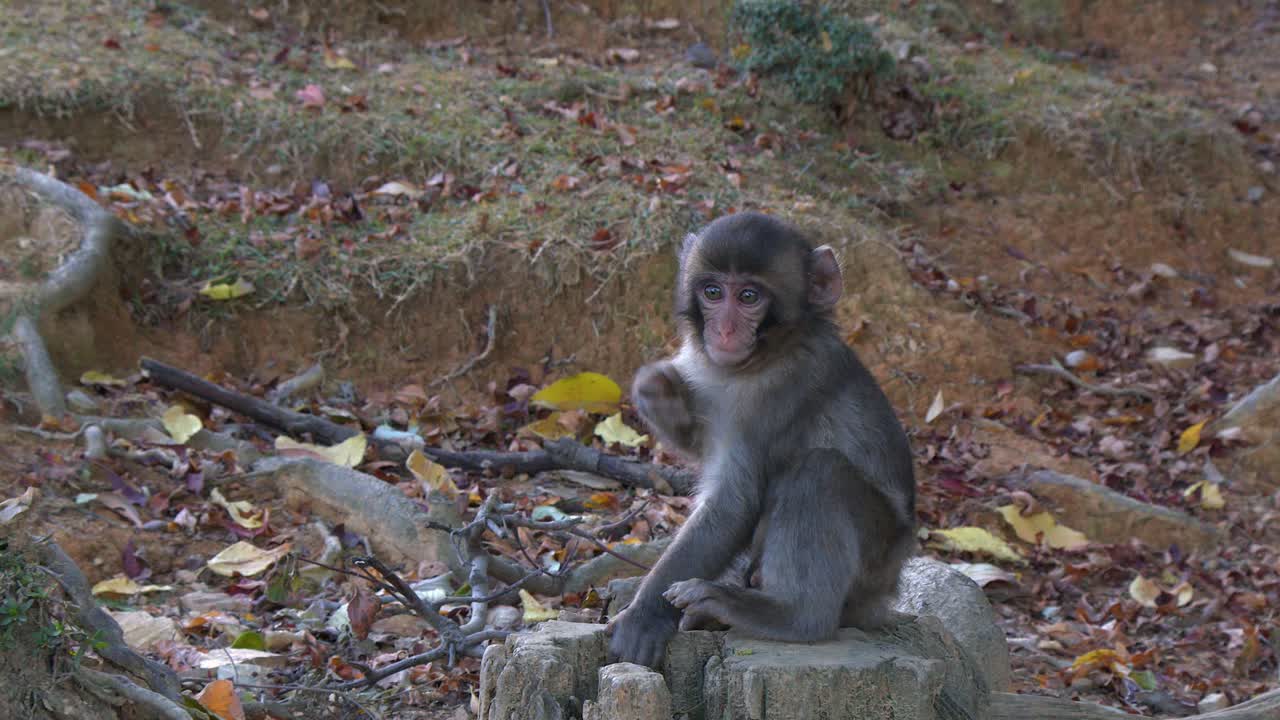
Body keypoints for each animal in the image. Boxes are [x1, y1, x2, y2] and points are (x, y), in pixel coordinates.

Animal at [606, 212, 916, 669]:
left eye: (749, 296)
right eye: (713, 292)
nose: (724, 330)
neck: (771, 352)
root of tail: (891, 587)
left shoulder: (774, 395)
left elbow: (734, 501)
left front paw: (644, 616)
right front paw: (658, 391)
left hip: (877, 559)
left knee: (820, 472)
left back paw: (786, 614)